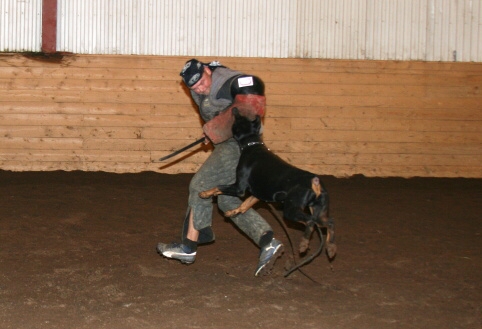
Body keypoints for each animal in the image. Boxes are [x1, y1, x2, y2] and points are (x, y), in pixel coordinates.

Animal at [199, 107, 336, 258]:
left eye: (239, 118)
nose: (234, 108)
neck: (252, 145)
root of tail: (315, 183)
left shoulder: (239, 187)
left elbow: (218, 186)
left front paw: (205, 193)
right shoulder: (257, 193)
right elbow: (245, 204)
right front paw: (233, 212)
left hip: (291, 209)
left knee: (310, 222)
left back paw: (304, 244)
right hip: (319, 210)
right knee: (329, 222)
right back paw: (331, 248)